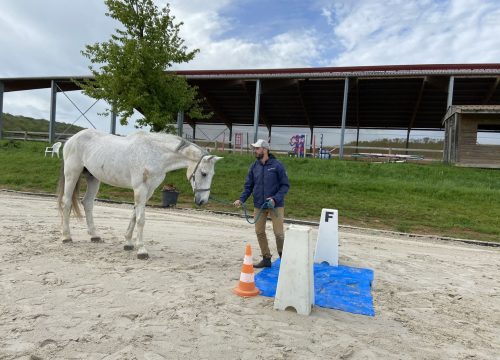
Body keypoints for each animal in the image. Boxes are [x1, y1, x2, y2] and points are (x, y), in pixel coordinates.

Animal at [57, 129, 223, 258]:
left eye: (212, 174)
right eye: (203, 173)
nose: (202, 201)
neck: (154, 153)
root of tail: (71, 139)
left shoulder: (149, 190)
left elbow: (134, 214)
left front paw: (128, 243)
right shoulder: (140, 188)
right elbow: (141, 219)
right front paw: (142, 250)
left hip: (93, 178)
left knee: (87, 203)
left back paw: (94, 235)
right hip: (72, 174)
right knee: (66, 202)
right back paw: (66, 237)